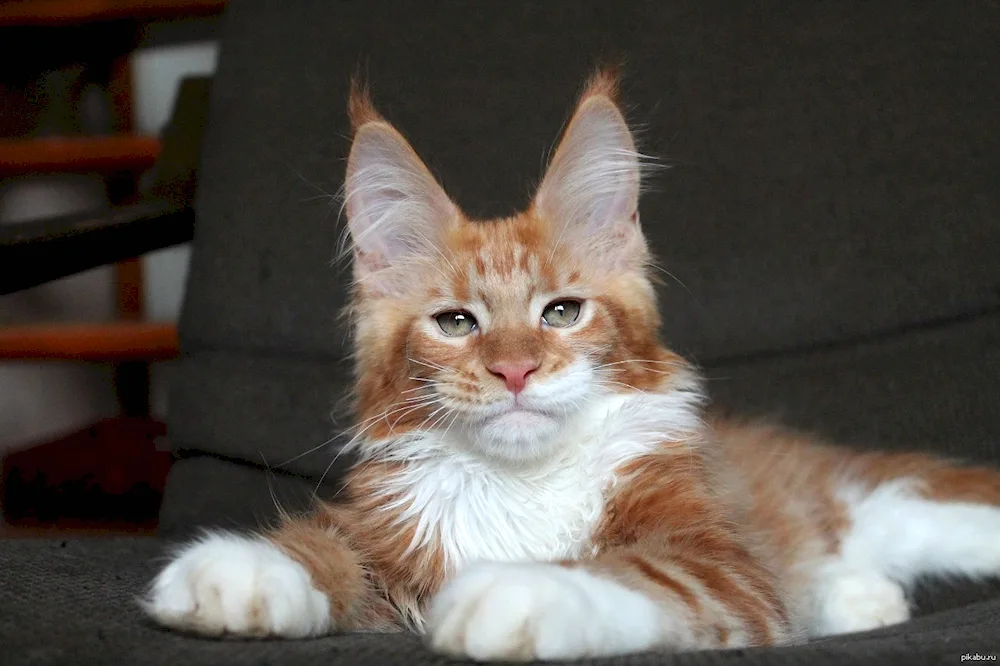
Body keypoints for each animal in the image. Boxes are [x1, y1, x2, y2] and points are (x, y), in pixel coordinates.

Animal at [145, 70, 1000, 656]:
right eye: (456, 323)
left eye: (561, 312)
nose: (516, 371)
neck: (524, 485)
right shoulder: (389, 533)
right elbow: (326, 548)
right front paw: (243, 572)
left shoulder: (718, 561)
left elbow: (634, 572)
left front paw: (525, 590)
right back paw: (859, 598)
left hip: (882, 501)